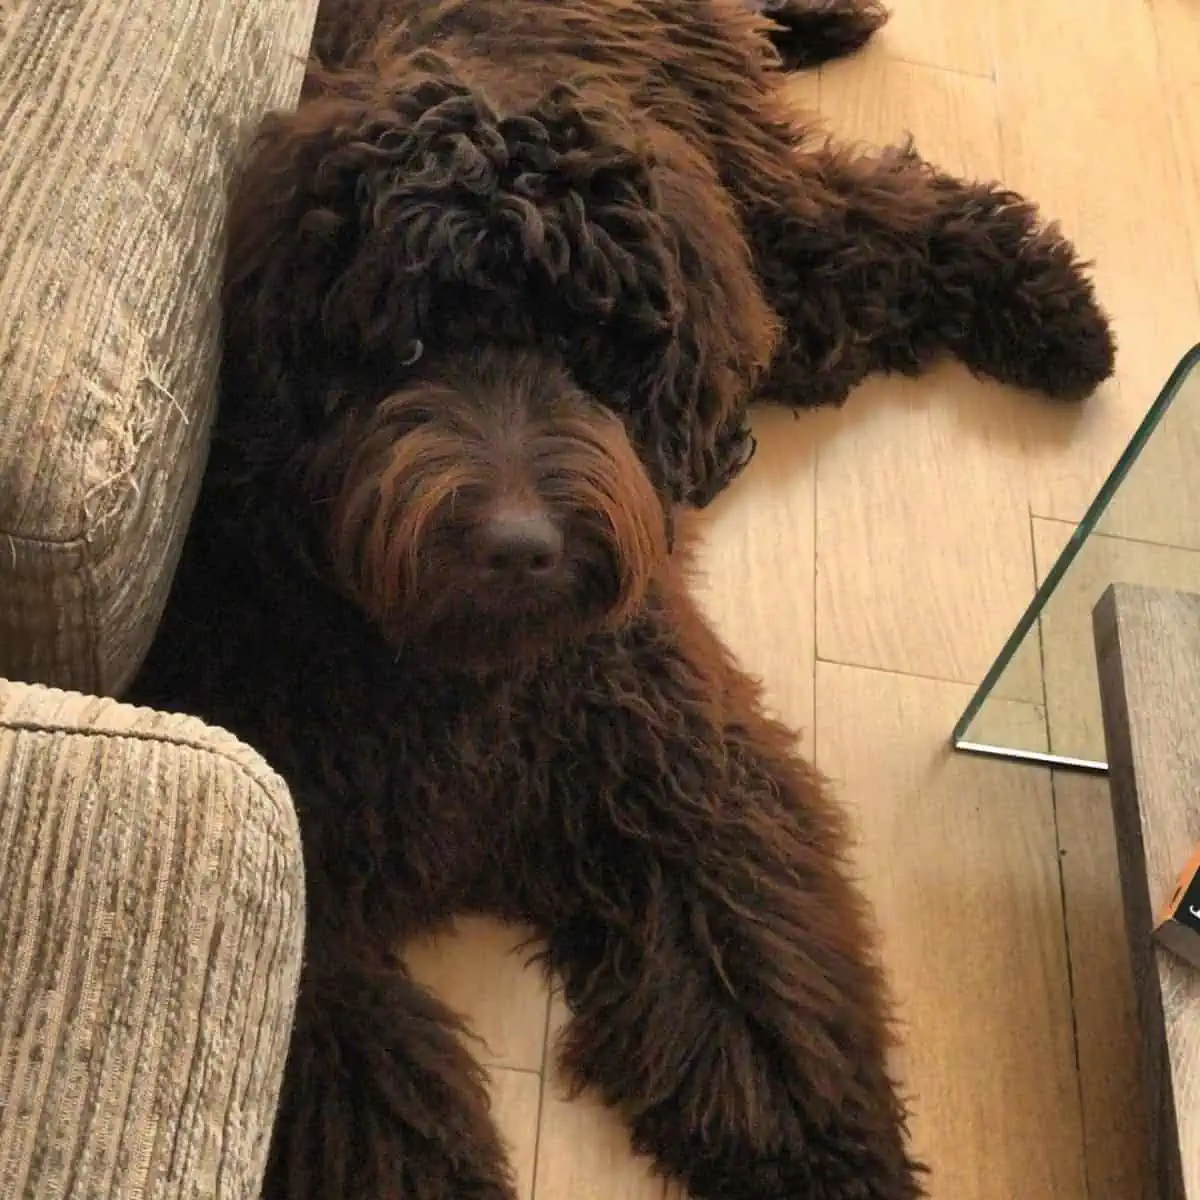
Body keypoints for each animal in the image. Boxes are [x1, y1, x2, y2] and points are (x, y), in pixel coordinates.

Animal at [129, 2, 1113, 1200]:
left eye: (581, 344)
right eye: (404, 344)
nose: (517, 548)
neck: (456, 671)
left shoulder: (682, 780)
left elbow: (769, 1008)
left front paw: (835, 1166)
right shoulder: (301, 905)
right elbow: (373, 1111)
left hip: (745, 217)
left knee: (870, 226)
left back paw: (1055, 310)